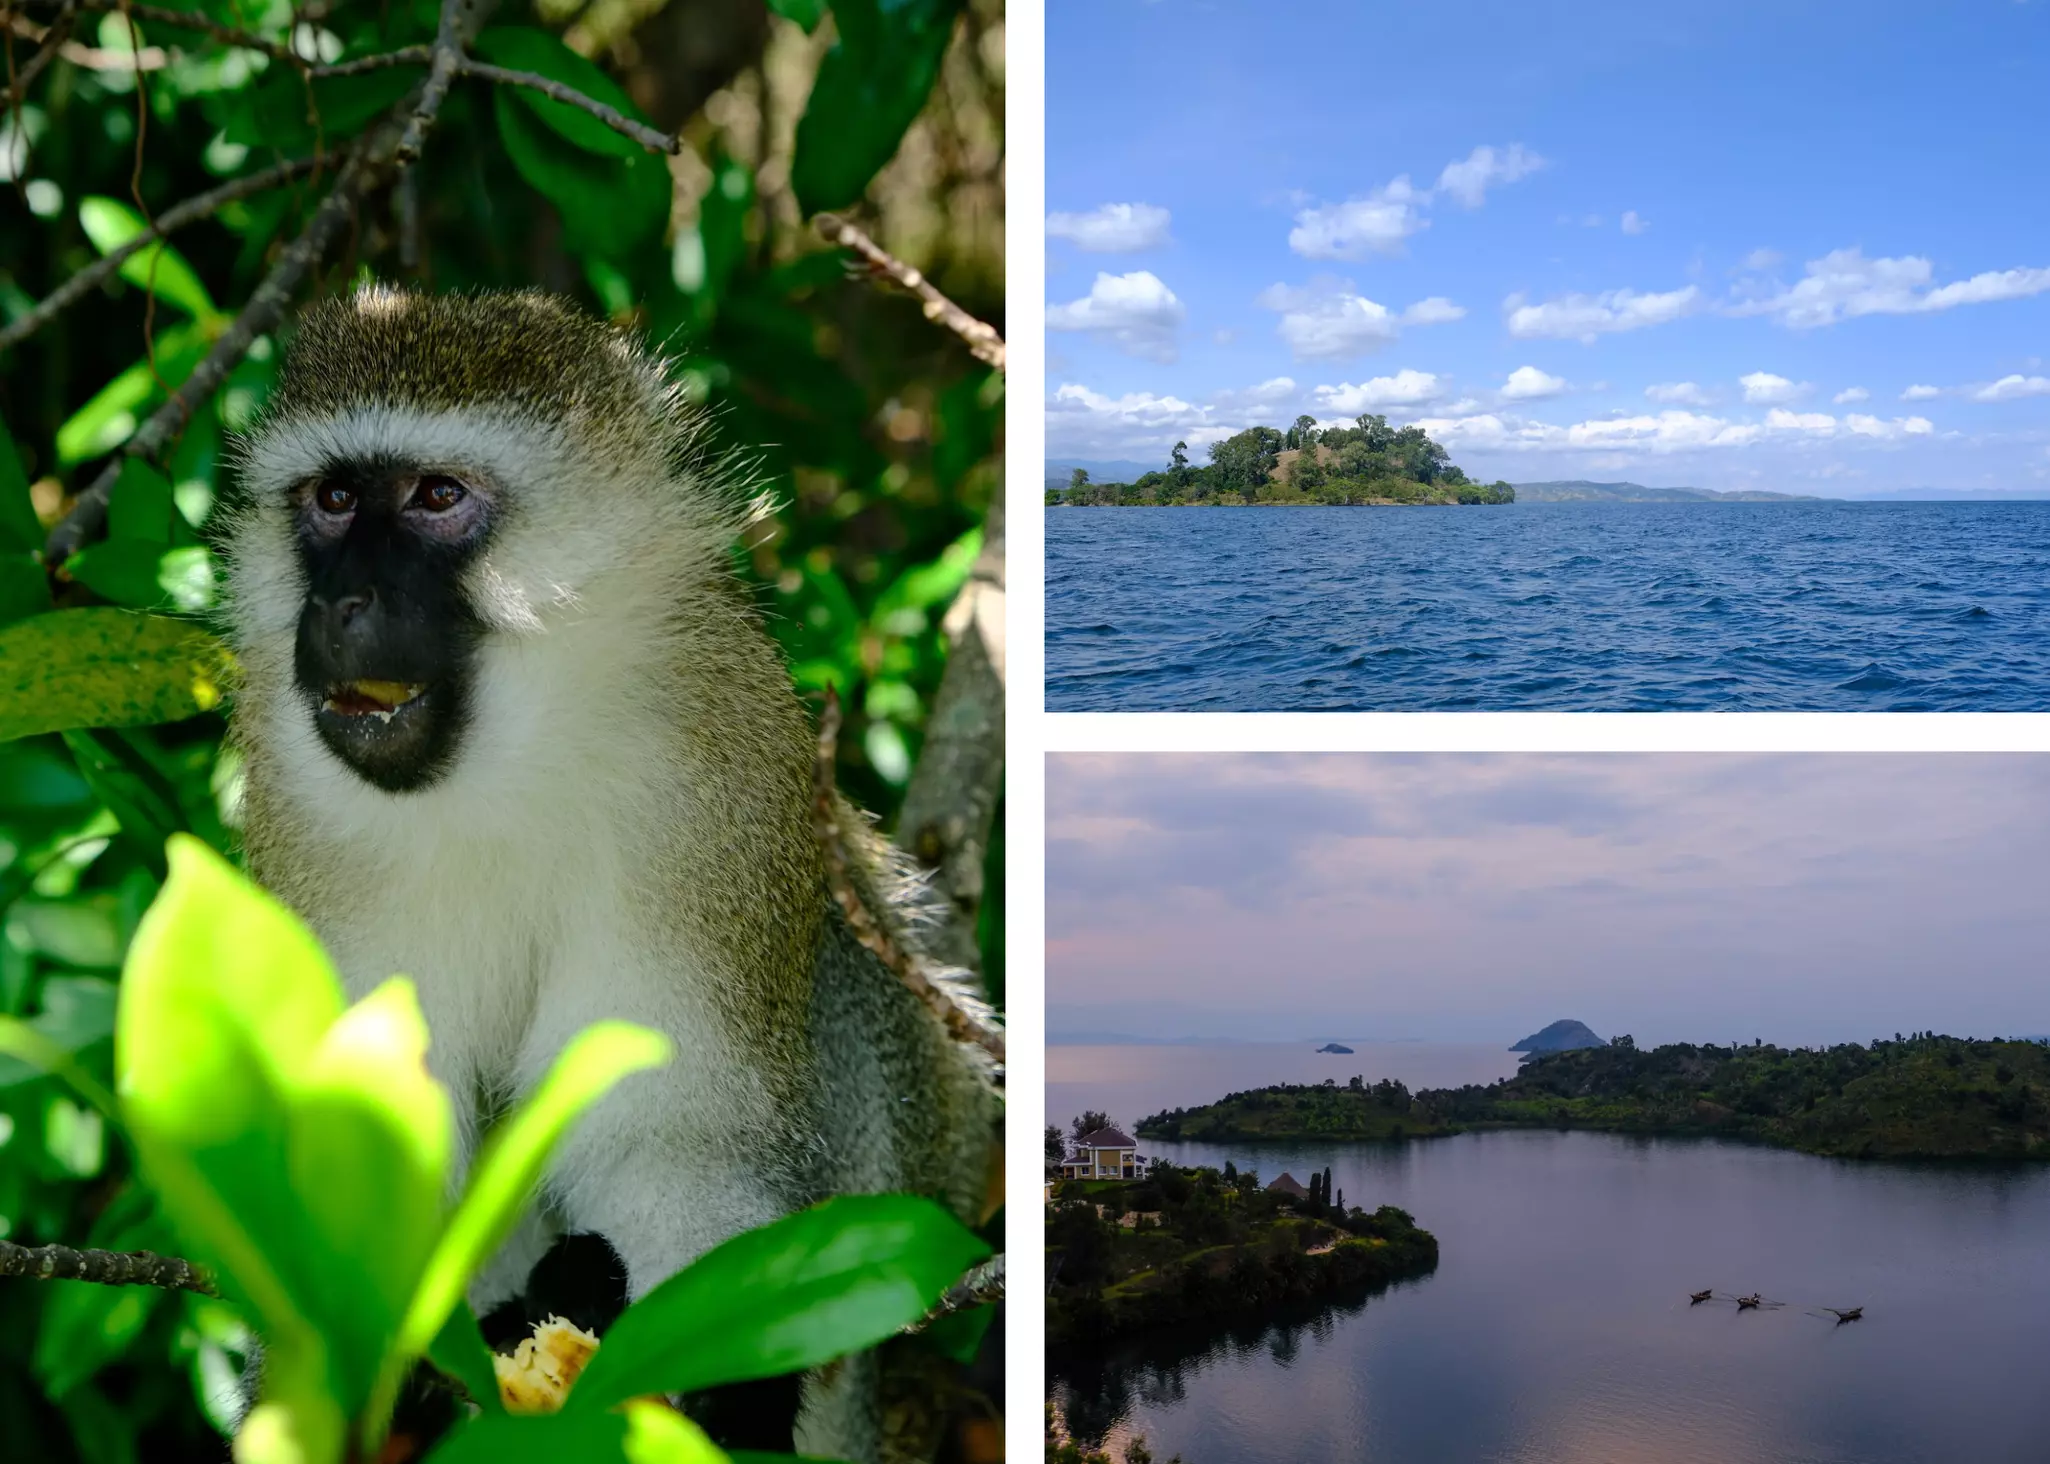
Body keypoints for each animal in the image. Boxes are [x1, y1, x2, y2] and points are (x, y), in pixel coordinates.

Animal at [216, 285, 1001, 1461]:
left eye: (437, 496)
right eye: (335, 498)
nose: (342, 604)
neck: (510, 757)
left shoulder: (710, 785)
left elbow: (672, 1131)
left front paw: (708, 1391)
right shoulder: (303, 817)